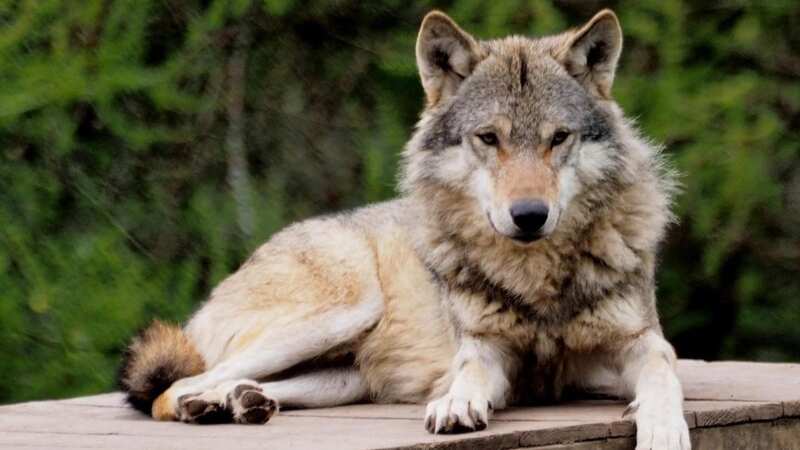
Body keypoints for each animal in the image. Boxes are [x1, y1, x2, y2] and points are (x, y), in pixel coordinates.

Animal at [120, 9, 690, 450]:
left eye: (559, 138)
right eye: (489, 138)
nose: (529, 214)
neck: (537, 281)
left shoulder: (638, 342)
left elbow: (663, 373)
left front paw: (663, 426)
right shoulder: (488, 350)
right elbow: (470, 372)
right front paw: (456, 402)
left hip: (344, 378)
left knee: (241, 383)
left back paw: (240, 402)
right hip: (343, 312)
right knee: (174, 389)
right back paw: (206, 405)